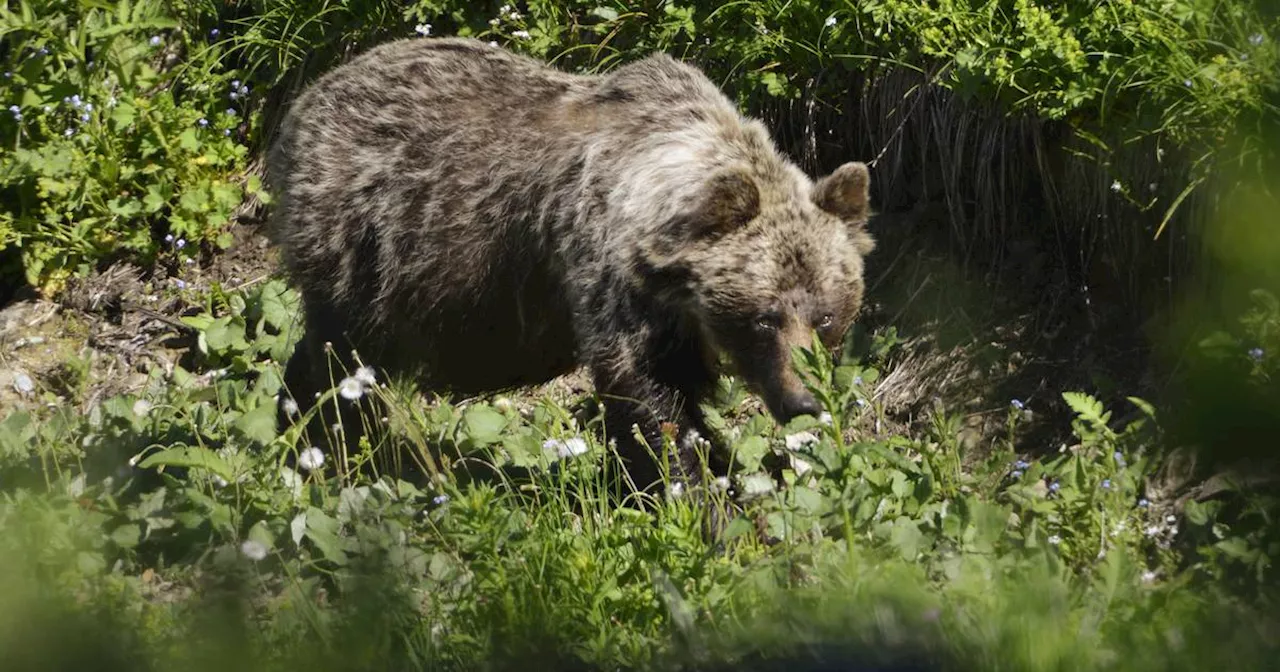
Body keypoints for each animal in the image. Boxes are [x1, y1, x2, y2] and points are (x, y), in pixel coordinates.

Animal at [264, 36, 875, 491]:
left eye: (825, 315)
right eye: (764, 317)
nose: (804, 401)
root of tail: (308, 96)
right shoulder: (608, 274)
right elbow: (651, 398)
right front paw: (700, 494)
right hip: (367, 242)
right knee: (340, 359)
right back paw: (323, 446)